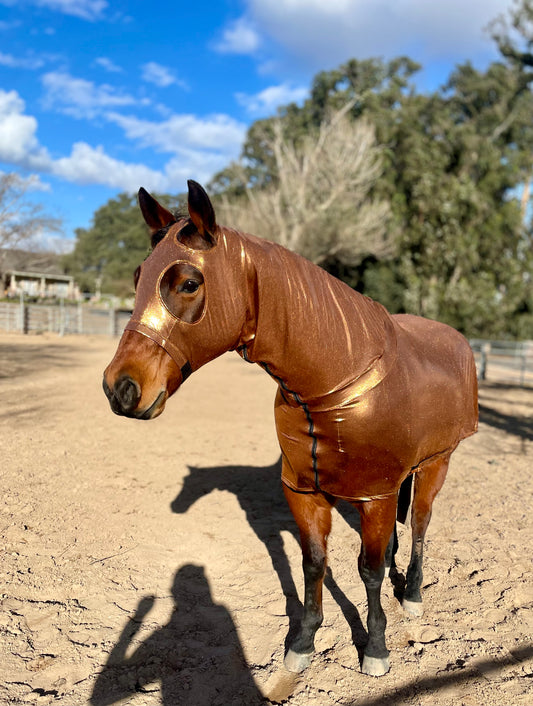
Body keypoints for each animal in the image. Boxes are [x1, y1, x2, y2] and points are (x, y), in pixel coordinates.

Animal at [102, 179, 476, 672]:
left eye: (188, 283)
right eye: (137, 277)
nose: (120, 388)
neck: (336, 380)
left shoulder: (374, 495)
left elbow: (369, 570)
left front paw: (376, 648)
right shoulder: (306, 491)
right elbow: (314, 563)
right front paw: (303, 640)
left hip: (438, 463)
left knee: (419, 524)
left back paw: (412, 594)